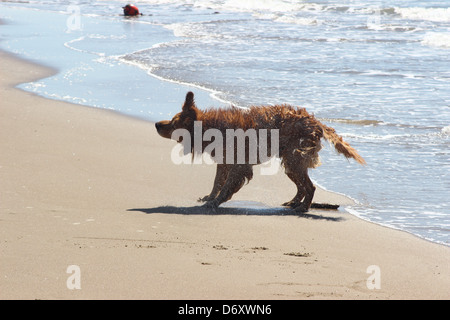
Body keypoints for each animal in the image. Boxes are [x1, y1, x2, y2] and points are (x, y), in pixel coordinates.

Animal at [156, 91, 366, 211]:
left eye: (173, 123)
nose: (157, 124)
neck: (211, 127)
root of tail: (315, 122)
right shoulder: (224, 163)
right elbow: (217, 183)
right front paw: (210, 197)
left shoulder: (238, 166)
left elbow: (225, 187)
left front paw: (213, 203)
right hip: (291, 163)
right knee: (302, 187)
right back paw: (293, 203)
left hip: (293, 160)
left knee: (310, 187)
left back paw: (303, 208)